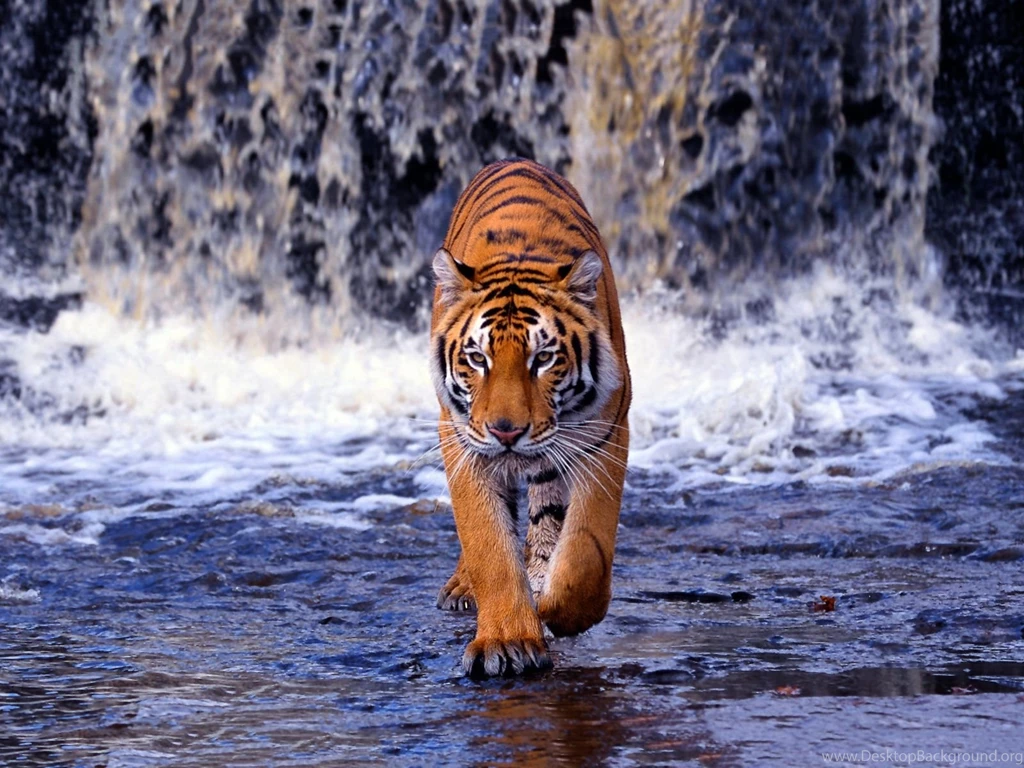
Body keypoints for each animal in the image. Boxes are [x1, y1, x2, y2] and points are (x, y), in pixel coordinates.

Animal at [430, 158, 631, 678]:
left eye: (543, 359)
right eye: (477, 358)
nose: (506, 431)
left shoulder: (604, 434)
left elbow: (585, 549)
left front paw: (560, 611)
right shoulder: (462, 440)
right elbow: (487, 543)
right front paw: (507, 640)